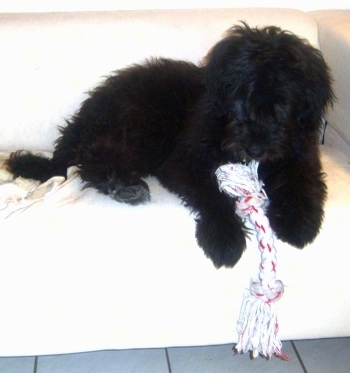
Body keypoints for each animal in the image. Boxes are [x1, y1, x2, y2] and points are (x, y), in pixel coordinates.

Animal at [6, 24, 334, 268]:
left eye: (283, 104)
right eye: (242, 98)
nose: (254, 149)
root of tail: (85, 114)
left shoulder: (301, 152)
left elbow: (305, 181)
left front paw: (298, 222)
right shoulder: (184, 161)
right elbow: (212, 193)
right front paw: (224, 238)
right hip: (146, 127)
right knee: (92, 158)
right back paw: (125, 186)